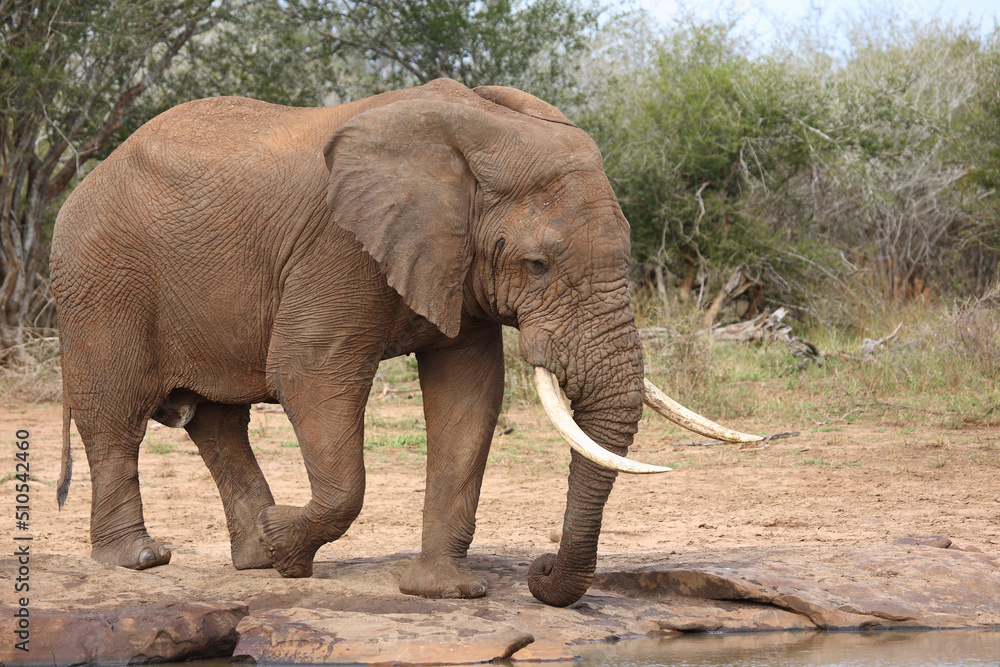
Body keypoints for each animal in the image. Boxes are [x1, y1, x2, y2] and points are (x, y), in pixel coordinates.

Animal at [50, 75, 760, 608]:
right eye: (537, 265)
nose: (539, 570)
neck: (476, 132)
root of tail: (85, 182)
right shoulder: (339, 245)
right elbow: (311, 372)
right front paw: (290, 550)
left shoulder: (453, 261)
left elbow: (469, 393)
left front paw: (441, 592)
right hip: (100, 281)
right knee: (115, 418)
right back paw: (142, 559)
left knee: (219, 423)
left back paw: (253, 556)